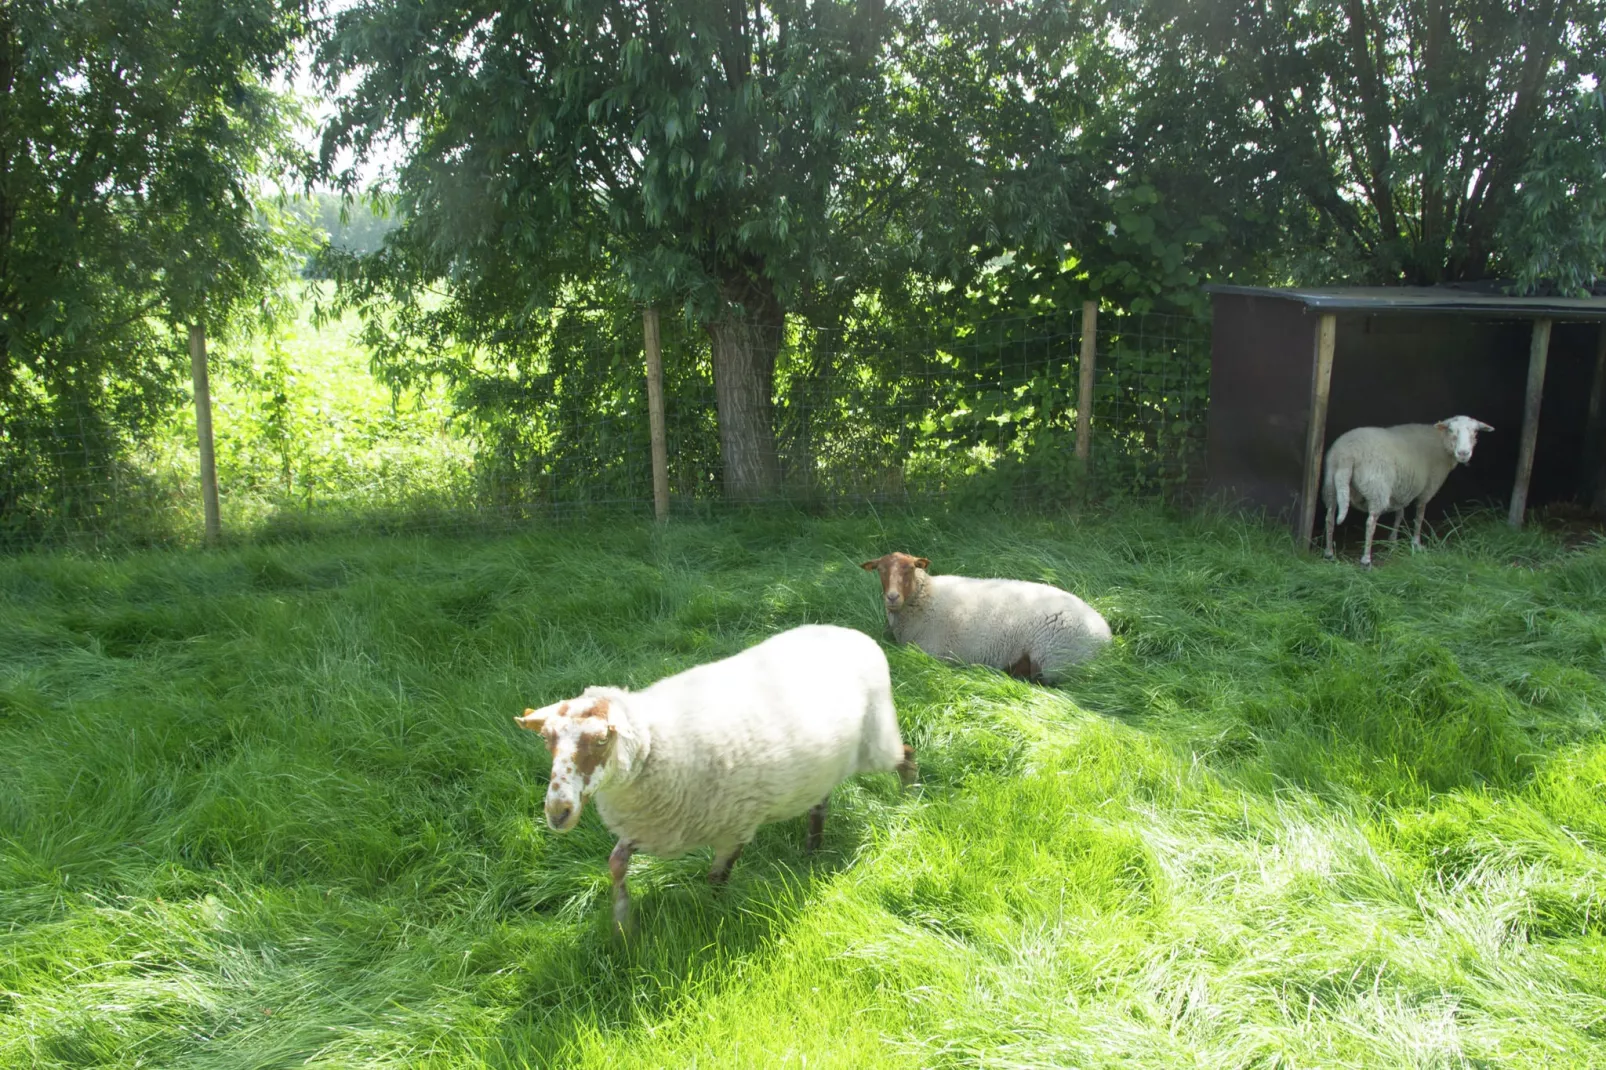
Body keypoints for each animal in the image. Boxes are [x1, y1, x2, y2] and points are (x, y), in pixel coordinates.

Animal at [513, 620, 918, 931]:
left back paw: (908, 806)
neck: (656, 744)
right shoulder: (648, 825)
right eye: (547, 739)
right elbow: (616, 864)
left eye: (600, 740)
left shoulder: (734, 828)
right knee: (821, 803)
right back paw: (812, 850)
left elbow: (716, 879)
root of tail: (853, 633)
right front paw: (622, 924)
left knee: (908, 758)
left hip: (877, 742)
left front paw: (713, 914)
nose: (558, 812)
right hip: (825, 766)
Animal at [860, 552, 1111, 677]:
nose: (892, 597)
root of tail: (1106, 636)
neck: (926, 598)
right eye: (880, 570)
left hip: (1054, 660)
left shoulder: (934, 653)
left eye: (910, 569)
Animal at [1323, 414, 1496, 565]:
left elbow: (1400, 513)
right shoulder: (1428, 487)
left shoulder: (1402, 489)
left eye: (1475, 432)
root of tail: (1347, 454)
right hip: (1377, 487)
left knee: (1330, 517)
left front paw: (1393, 540)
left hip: (1331, 484)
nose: (1463, 453)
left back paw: (1329, 553)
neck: (1441, 443)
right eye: (1451, 430)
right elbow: (1419, 515)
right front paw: (1416, 544)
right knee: (1370, 522)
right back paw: (1366, 560)